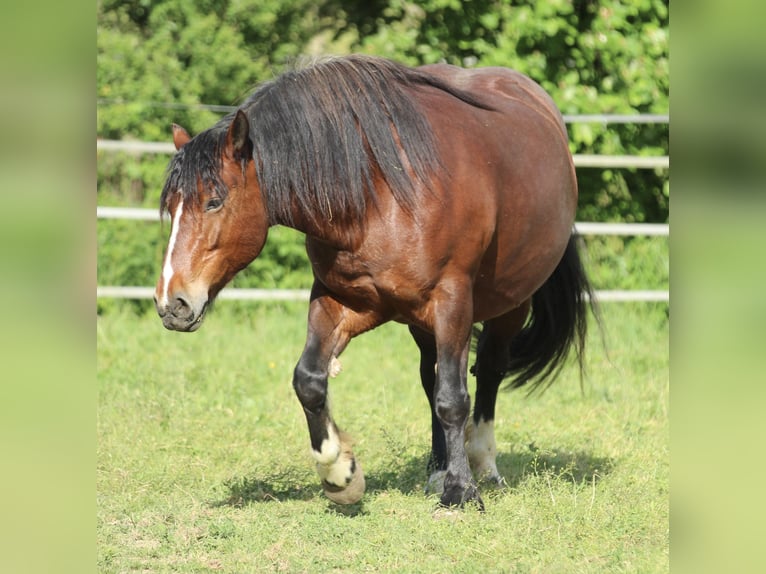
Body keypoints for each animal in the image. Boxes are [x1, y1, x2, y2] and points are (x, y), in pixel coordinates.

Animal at [153, 55, 595, 510]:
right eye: (170, 206)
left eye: (214, 201)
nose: (172, 304)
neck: (380, 194)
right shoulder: (341, 299)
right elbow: (309, 379)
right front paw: (340, 473)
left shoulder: (452, 301)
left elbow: (454, 399)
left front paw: (461, 491)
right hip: (422, 324)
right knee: (431, 376)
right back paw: (438, 470)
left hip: (511, 304)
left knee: (487, 371)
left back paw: (483, 464)